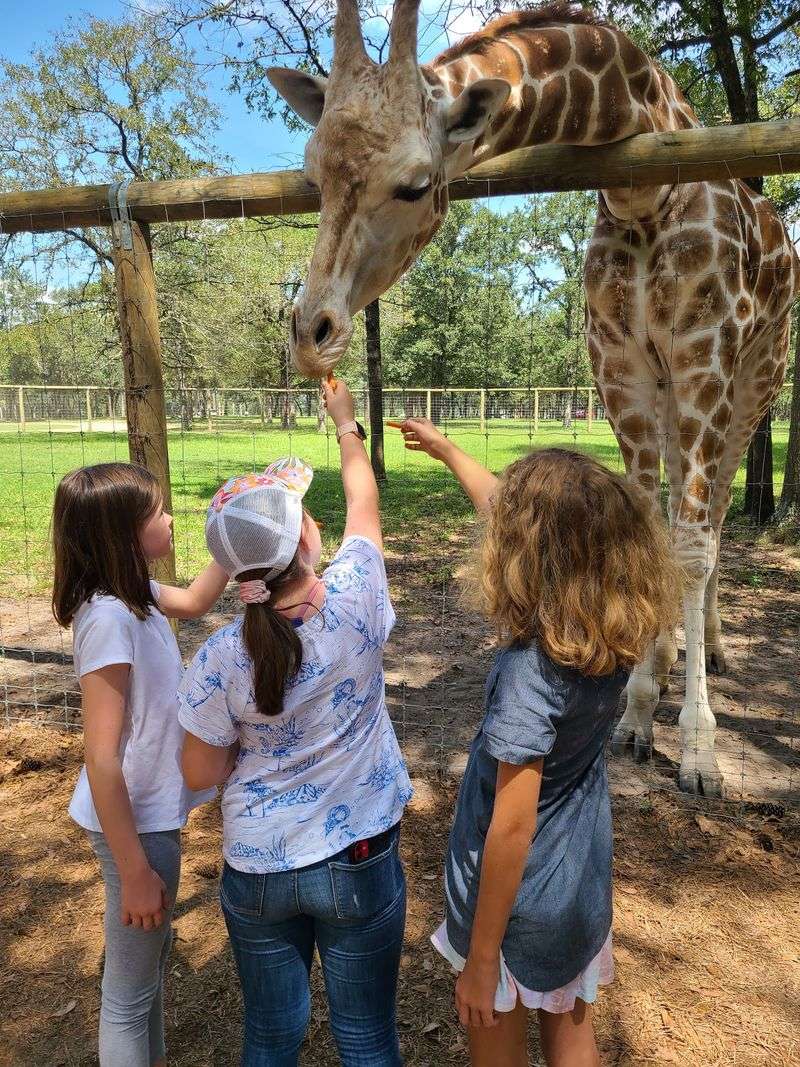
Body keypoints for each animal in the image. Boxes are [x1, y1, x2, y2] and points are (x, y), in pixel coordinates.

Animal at [267, 1, 800, 796]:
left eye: (414, 184)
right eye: (312, 177)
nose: (311, 332)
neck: (644, 189)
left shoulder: (705, 353)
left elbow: (692, 546)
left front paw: (698, 753)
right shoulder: (622, 367)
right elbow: (650, 529)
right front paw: (638, 712)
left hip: (753, 383)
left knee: (719, 509)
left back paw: (714, 647)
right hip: (675, 395)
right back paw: (671, 651)